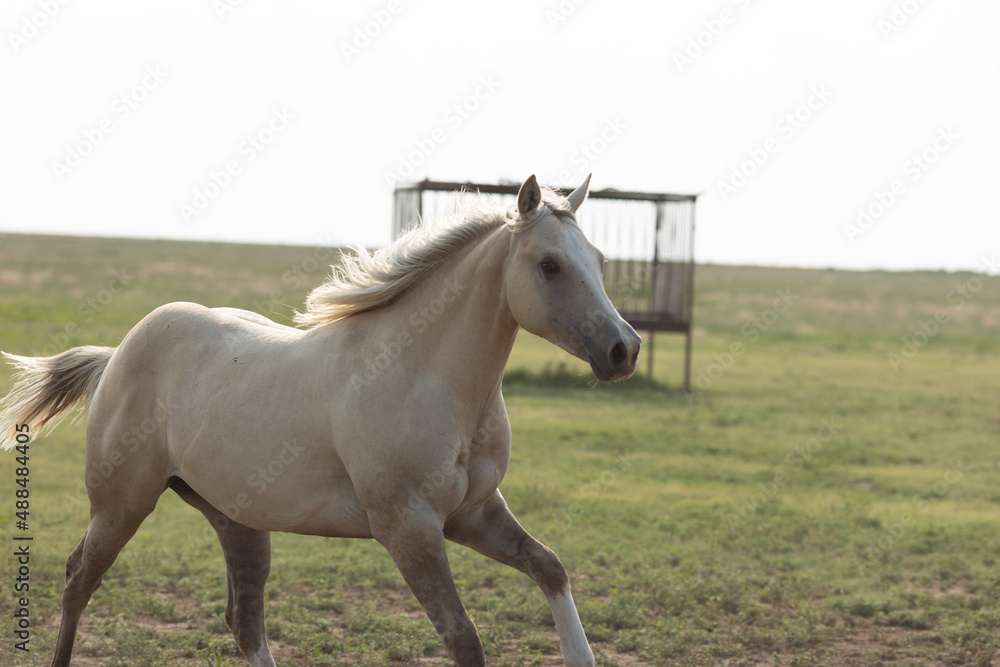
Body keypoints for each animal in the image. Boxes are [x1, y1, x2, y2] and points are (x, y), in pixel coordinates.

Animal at [0, 174, 640, 667]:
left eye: (600, 261)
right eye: (550, 264)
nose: (623, 349)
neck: (424, 376)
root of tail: (117, 356)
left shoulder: (474, 514)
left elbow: (551, 568)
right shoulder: (409, 529)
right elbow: (465, 640)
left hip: (237, 520)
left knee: (245, 621)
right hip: (121, 504)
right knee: (78, 579)